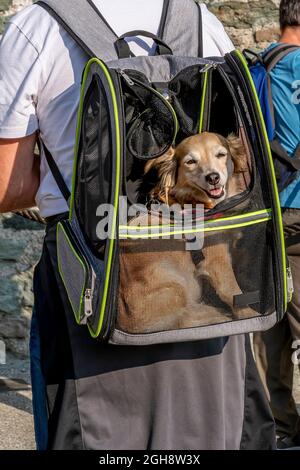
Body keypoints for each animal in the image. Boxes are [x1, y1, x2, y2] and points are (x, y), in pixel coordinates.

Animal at [117, 132, 255, 334]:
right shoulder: (216, 262)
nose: (213, 177)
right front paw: (251, 316)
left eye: (221, 154)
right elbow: (233, 293)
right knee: (183, 318)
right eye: (190, 162)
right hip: (173, 281)